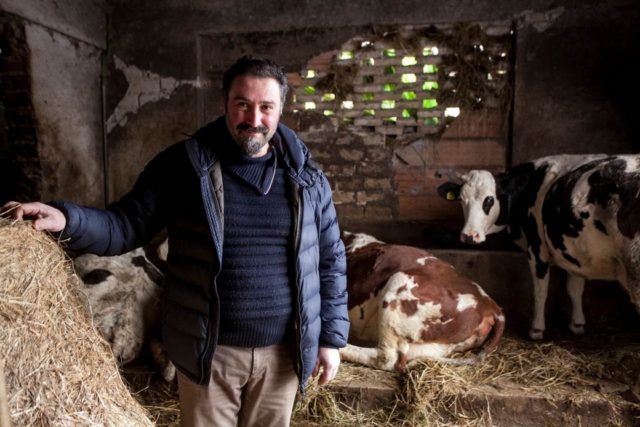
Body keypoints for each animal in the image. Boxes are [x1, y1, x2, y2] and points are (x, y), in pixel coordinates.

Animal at [438, 154, 640, 342]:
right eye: (462, 199)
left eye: (489, 200)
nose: (469, 235)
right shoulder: (572, 249)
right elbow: (575, 288)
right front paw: (577, 324)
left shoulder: (537, 248)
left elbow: (540, 291)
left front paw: (536, 330)